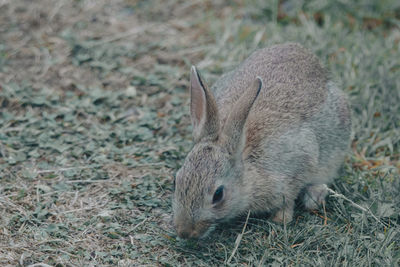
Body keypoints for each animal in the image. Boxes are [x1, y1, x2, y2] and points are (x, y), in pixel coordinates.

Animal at [172, 43, 350, 240]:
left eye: (218, 195)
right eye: (176, 181)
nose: (184, 232)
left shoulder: (300, 163)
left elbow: (289, 197)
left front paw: (280, 219)